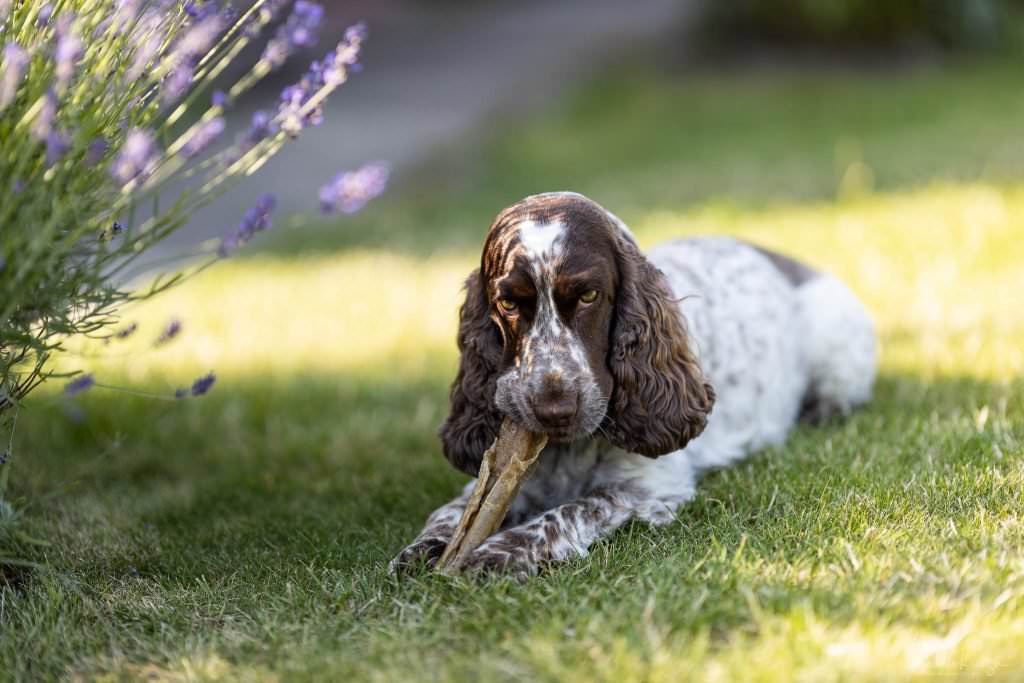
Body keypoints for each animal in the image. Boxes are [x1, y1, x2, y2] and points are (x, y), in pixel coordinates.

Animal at [387, 191, 876, 577]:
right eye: (507, 303)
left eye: (588, 296)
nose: (554, 410)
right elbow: (453, 512)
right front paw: (424, 548)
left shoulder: (647, 488)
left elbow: (573, 509)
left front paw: (502, 553)